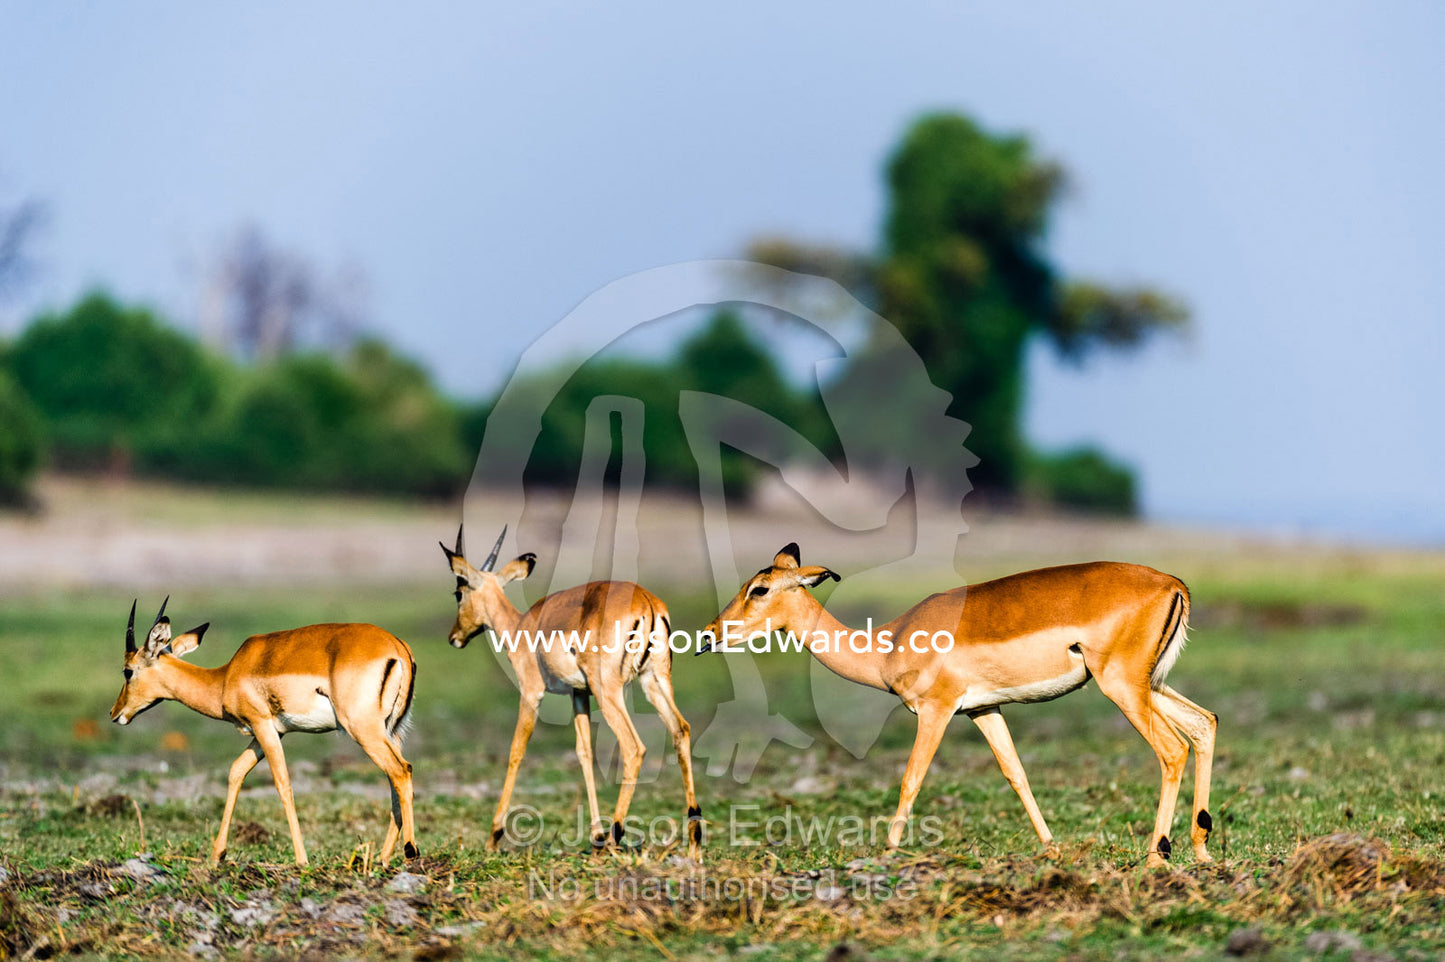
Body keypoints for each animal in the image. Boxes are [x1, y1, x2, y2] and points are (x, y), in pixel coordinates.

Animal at [110, 599, 419, 867]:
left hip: (363, 729)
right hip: (390, 731)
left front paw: (301, 859)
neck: (225, 678)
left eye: (128, 671)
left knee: (400, 771)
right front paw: (217, 854)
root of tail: (398, 647)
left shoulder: (262, 725)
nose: (115, 713)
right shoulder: (268, 732)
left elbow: (283, 784)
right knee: (398, 774)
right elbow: (236, 771)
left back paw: (410, 851)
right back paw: (382, 858)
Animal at [441, 525, 702, 856]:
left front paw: (493, 837)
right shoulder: (579, 694)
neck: (521, 626)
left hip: (610, 691)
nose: (454, 637)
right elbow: (584, 753)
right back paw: (693, 839)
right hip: (654, 681)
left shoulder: (531, 692)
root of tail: (647, 602)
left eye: (458, 593)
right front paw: (595, 834)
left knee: (633, 747)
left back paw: (616, 837)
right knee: (681, 730)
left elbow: (516, 751)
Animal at [700, 544, 1217, 868]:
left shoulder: (937, 710)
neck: (887, 643)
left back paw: (1156, 857)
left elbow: (911, 778)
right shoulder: (982, 711)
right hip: (1149, 685)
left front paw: (887, 855)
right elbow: (1016, 773)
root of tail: (1172, 584)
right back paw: (1201, 850)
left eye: (760, 589)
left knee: (1172, 749)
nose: (708, 635)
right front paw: (1051, 850)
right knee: (1204, 724)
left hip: (1122, 686)